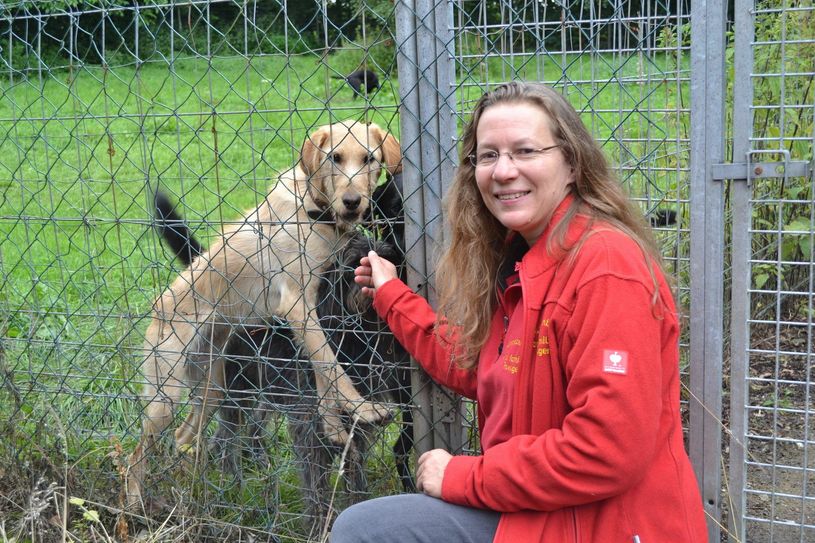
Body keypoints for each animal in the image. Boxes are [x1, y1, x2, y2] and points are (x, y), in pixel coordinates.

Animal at [126, 120, 404, 510]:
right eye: (334, 158)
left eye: (370, 159)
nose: (353, 202)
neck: (314, 209)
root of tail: (159, 309)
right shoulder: (297, 305)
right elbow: (330, 364)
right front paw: (362, 408)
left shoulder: (312, 306)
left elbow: (323, 376)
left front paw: (334, 427)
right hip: (165, 397)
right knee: (135, 454)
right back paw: (135, 501)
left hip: (213, 390)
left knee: (184, 437)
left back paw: (197, 490)